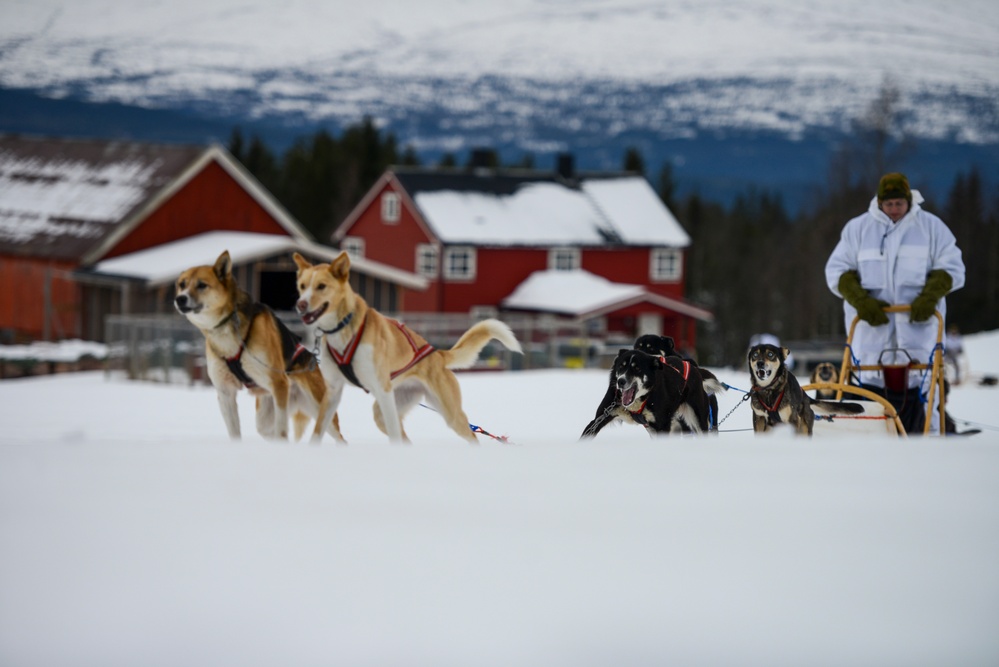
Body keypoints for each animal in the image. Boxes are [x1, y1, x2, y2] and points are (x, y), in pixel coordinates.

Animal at [173, 250, 344, 444]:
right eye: (182, 284)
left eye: (202, 285)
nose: (180, 298)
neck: (226, 332)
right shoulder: (225, 393)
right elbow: (234, 433)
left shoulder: (279, 384)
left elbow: (282, 431)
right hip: (265, 420)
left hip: (321, 411)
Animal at [292, 250, 524, 444]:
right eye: (302, 286)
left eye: (321, 286)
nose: (300, 304)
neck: (342, 329)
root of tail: (438, 354)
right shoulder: (332, 391)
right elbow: (318, 431)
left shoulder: (383, 390)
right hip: (386, 409)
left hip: (449, 414)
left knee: (470, 436)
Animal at [584, 344, 716, 438]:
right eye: (621, 366)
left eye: (637, 368)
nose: (620, 381)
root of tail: (693, 367)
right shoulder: (599, 419)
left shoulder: (662, 425)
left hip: (698, 419)